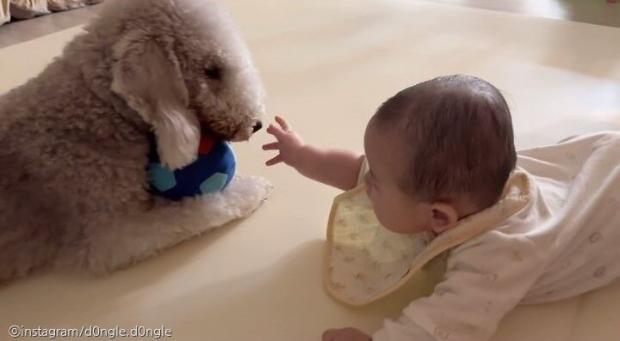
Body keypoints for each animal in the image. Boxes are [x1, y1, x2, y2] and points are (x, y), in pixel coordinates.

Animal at [0, 0, 272, 282]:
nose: (256, 125)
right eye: (211, 71)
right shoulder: (113, 231)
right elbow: (199, 210)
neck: (99, 107)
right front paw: (252, 188)